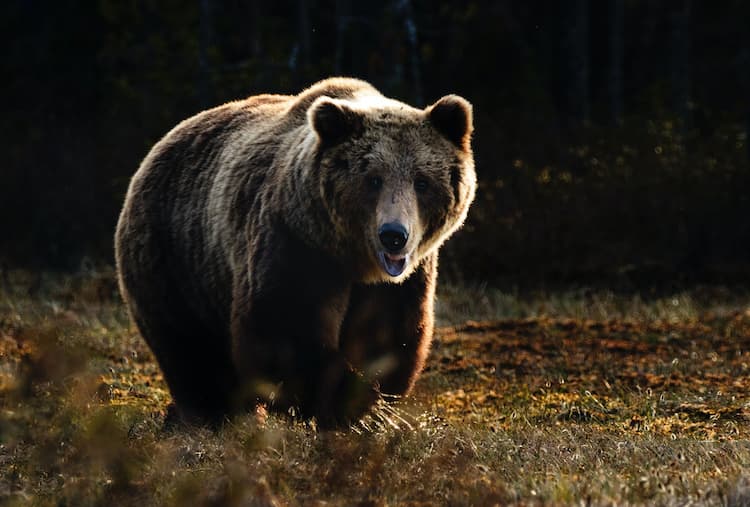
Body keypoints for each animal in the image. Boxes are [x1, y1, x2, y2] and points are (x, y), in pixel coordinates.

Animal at [115, 77, 476, 427]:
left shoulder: (402, 280)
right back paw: (212, 414)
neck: (352, 258)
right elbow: (284, 329)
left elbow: (388, 335)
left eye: (422, 181)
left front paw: (370, 404)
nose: (394, 236)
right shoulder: (294, 244)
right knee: (191, 349)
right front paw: (351, 405)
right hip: (175, 257)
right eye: (373, 179)